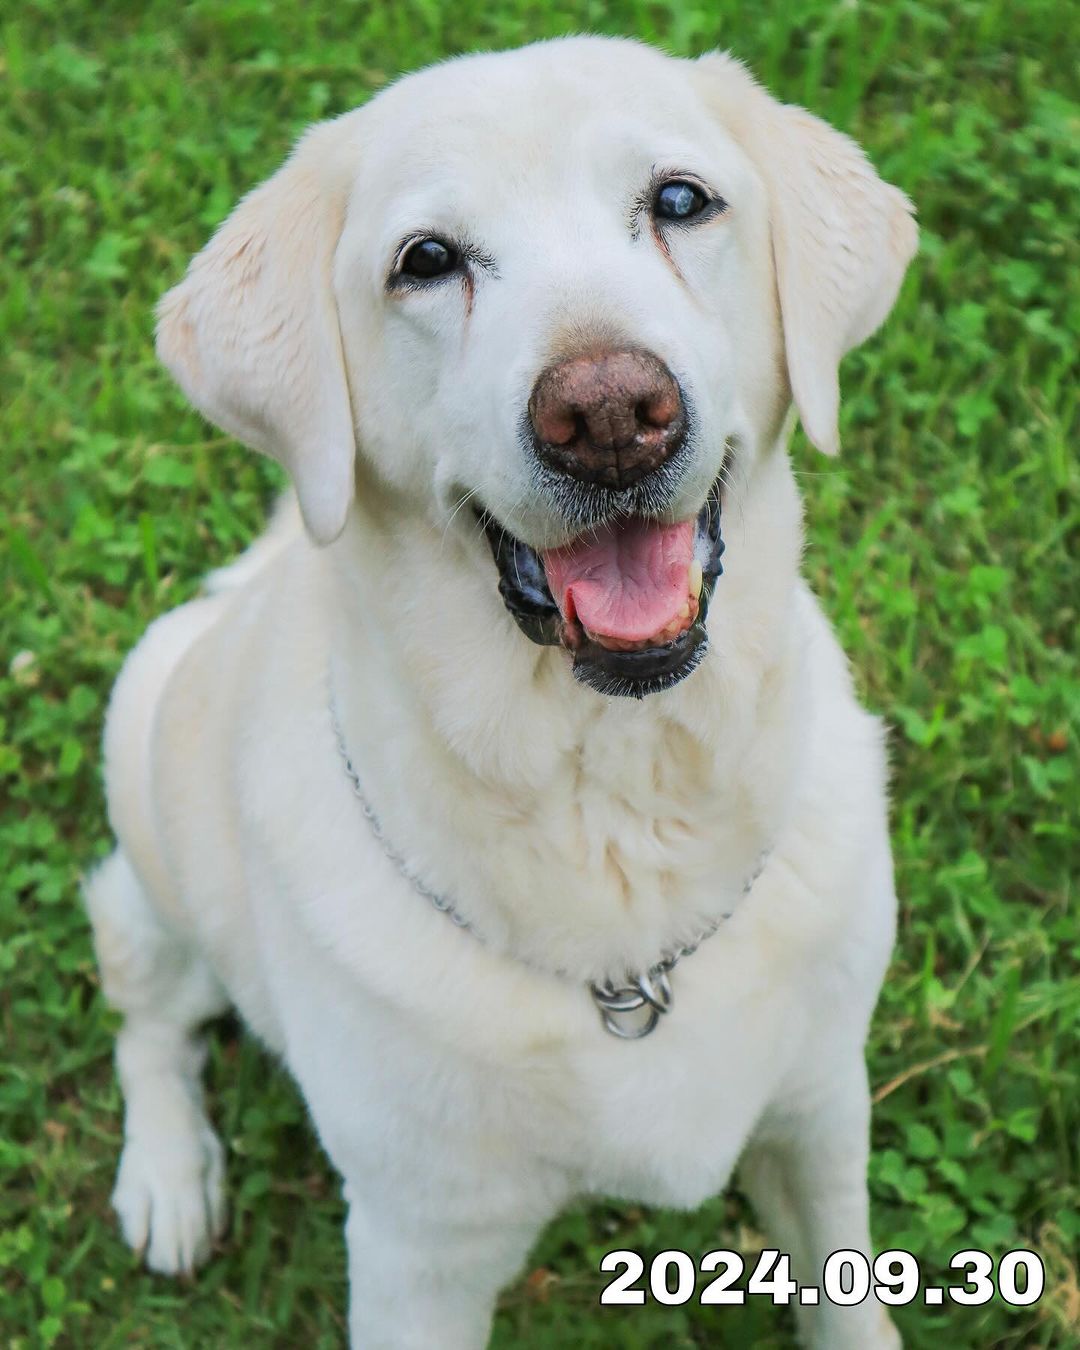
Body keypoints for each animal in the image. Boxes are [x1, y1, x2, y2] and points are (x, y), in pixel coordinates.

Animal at [84, 34, 918, 1350]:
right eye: (427, 262)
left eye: (681, 200)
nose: (612, 415)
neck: (617, 798)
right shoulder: (420, 1252)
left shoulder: (820, 1109)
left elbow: (849, 1303)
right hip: (147, 777)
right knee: (143, 994)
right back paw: (168, 1176)